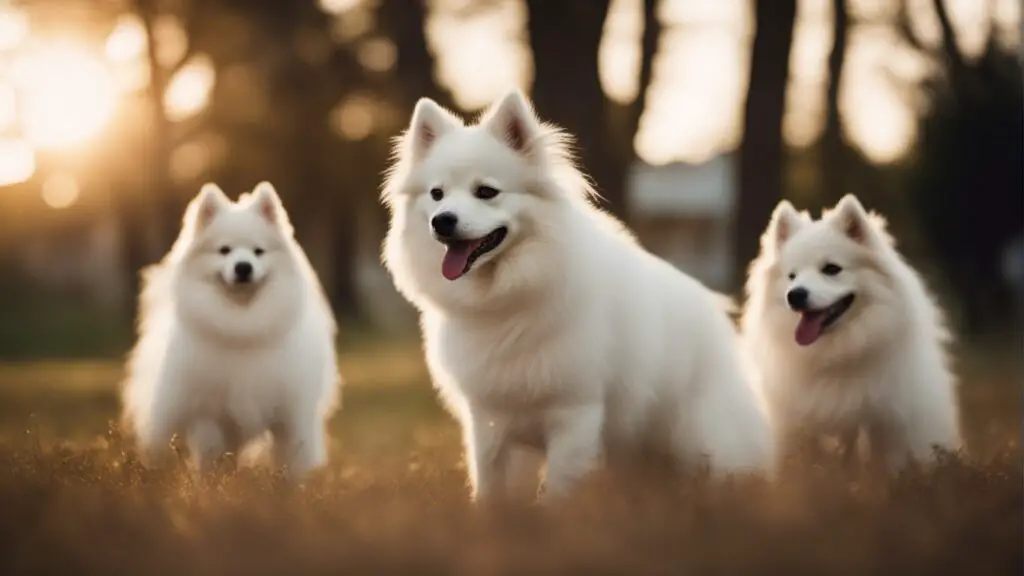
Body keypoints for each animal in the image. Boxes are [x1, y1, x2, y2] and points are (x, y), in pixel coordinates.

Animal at [122, 181, 339, 477]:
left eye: (258, 251)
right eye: (224, 250)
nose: (243, 267)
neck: (243, 323)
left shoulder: (292, 413)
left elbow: (294, 459)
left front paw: (295, 486)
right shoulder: (208, 413)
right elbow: (211, 458)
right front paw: (212, 484)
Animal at [380, 89, 770, 502]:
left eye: (486, 192)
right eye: (437, 194)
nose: (442, 220)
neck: (506, 299)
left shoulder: (575, 415)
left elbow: (559, 491)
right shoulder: (489, 422)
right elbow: (491, 489)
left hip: (701, 438)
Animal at [737, 192, 958, 471]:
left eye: (831, 269)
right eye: (792, 276)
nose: (795, 295)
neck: (836, 351)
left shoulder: (883, 421)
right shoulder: (797, 423)